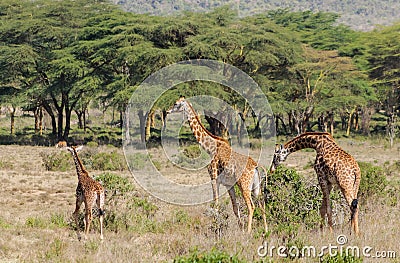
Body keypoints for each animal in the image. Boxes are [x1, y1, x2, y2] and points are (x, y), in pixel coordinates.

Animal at [167, 96, 268, 233]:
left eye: (176, 104)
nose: (167, 111)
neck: (211, 148)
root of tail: (256, 167)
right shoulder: (229, 184)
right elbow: (235, 208)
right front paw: (239, 228)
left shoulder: (214, 178)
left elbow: (216, 205)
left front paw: (216, 229)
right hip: (256, 187)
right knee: (262, 204)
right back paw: (266, 231)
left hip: (244, 185)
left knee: (251, 206)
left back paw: (248, 232)